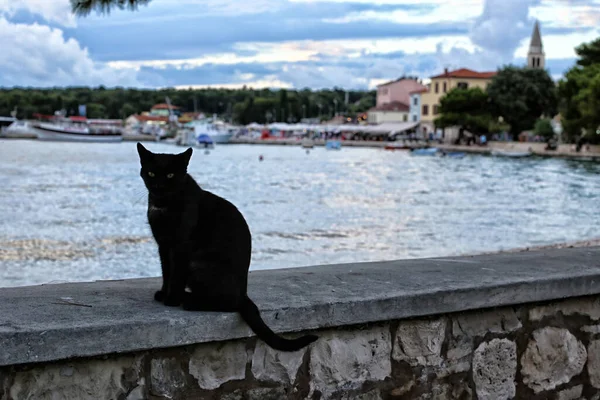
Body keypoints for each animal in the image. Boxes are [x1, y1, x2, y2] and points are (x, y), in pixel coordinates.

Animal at [134, 143, 316, 350]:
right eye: (151, 173)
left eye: (170, 175)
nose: (159, 186)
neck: (163, 205)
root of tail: (244, 293)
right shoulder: (163, 246)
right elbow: (166, 272)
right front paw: (164, 293)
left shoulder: (180, 247)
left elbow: (176, 275)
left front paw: (171, 299)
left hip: (199, 265)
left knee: (229, 303)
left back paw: (189, 301)